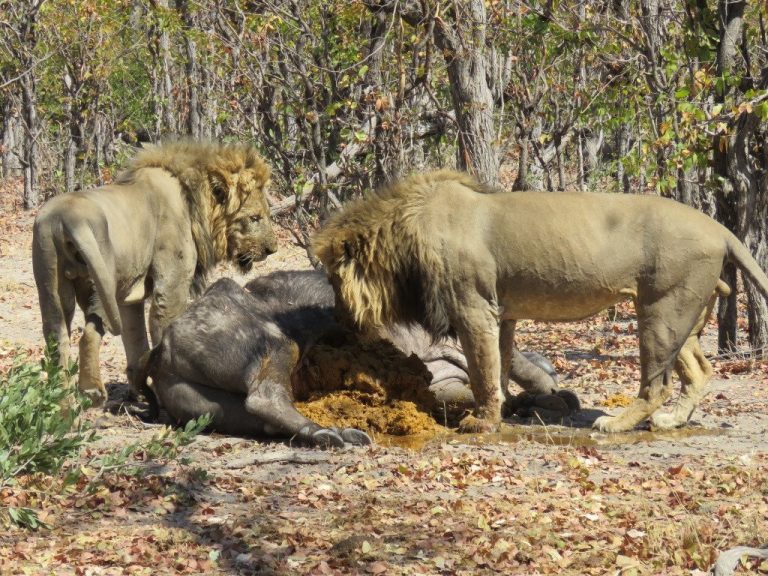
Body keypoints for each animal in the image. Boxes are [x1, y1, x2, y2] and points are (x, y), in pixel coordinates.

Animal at [32, 140, 278, 405]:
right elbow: (164, 329)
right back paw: (92, 391)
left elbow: (135, 338)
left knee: (58, 340)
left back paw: (65, 407)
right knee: (88, 334)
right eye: (255, 218)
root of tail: (65, 221)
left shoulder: (130, 294)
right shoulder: (171, 285)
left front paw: (140, 392)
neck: (192, 203)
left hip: (53, 284)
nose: (272, 249)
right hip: (103, 277)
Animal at [312, 169, 768, 433]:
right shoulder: (501, 312)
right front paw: (506, 408)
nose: (336, 316)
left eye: (332, 277)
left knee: (657, 384)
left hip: (660, 312)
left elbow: (481, 369)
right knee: (699, 371)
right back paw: (672, 421)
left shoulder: (472, 308)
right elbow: (499, 363)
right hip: (681, 312)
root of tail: (719, 227)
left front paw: (482, 422)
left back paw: (616, 423)